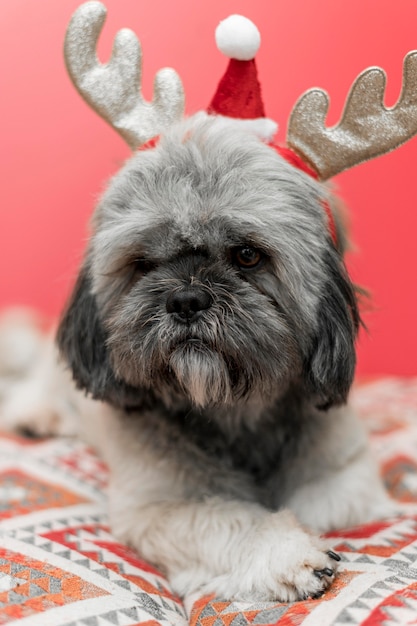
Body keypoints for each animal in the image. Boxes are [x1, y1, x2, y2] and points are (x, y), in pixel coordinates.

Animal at [1, 2, 414, 604]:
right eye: (143, 262)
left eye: (247, 255)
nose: (187, 299)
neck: (234, 415)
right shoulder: (160, 507)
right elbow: (228, 518)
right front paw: (285, 553)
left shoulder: (348, 472)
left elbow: (328, 504)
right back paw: (37, 412)